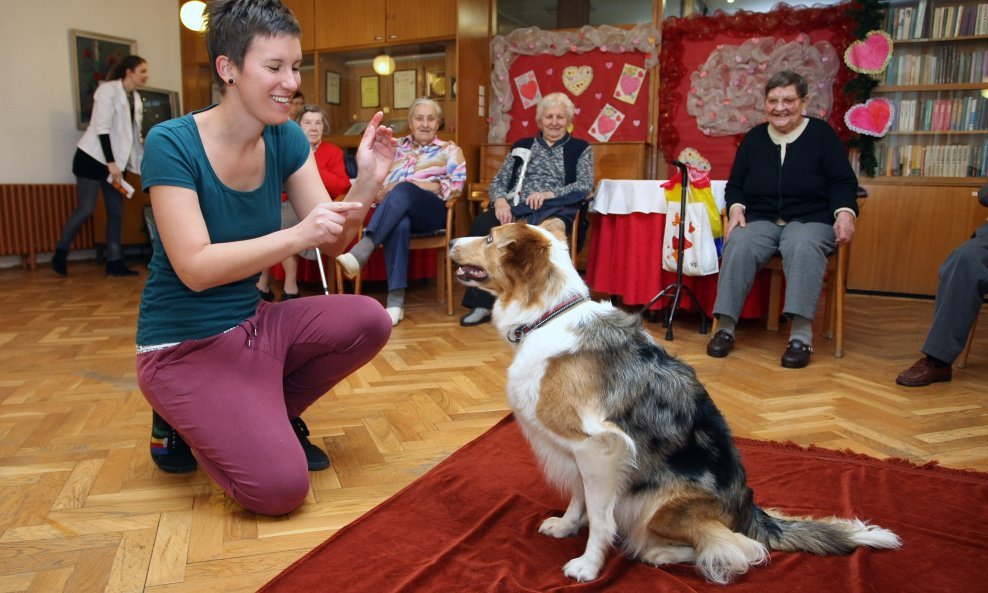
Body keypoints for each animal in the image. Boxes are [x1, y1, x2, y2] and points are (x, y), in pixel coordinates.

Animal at [452, 219, 900, 584]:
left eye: (490, 237)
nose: (453, 240)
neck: (548, 316)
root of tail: (751, 511)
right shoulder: (580, 451)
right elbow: (580, 496)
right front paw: (566, 526)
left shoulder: (601, 446)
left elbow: (600, 516)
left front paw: (589, 566)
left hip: (658, 505)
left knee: (740, 549)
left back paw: (661, 552)